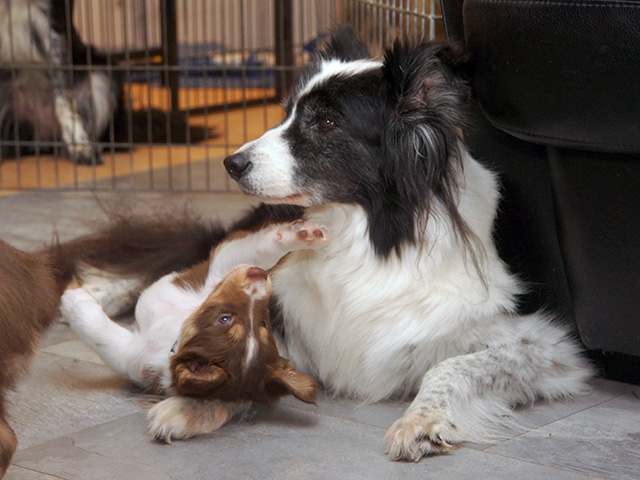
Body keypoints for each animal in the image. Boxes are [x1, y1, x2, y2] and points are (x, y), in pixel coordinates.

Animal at [60, 220, 325, 442]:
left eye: (224, 319)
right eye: (265, 324)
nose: (259, 275)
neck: (175, 329)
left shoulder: (132, 354)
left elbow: (99, 334)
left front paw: (71, 298)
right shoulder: (212, 271)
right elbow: (255, 249)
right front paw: (303, 234)